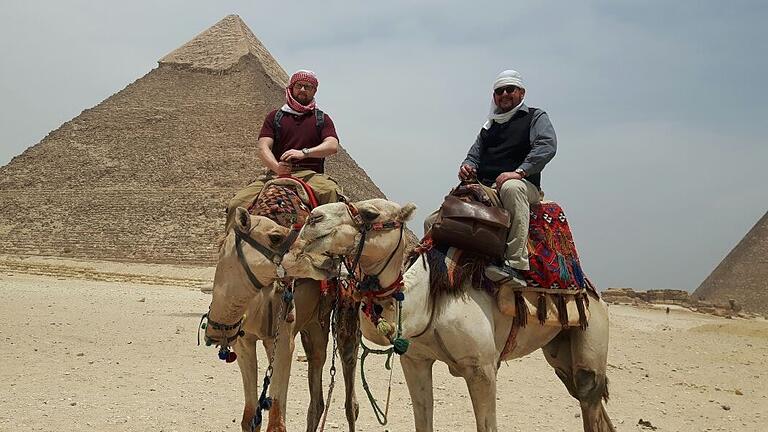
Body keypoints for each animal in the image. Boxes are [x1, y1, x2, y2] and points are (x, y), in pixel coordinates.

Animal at [202, 208, 362, 430]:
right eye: (275, 237)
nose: (328, 257)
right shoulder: (243, 343)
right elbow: (249, 418)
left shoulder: (283, 341)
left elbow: (276, 423)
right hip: (313, 324)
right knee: (317, 379)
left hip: (347, 311)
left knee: (350, 396)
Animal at [296, 199, 616, 432]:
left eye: (369, 213)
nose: (312, 219)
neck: (428, 302)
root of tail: (591, 288)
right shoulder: (415, 361)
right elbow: (423, 421)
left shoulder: (482, 368)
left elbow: (487, 426)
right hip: (559, 351)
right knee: (590, 401)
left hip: (593, 330)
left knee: (588, 389)